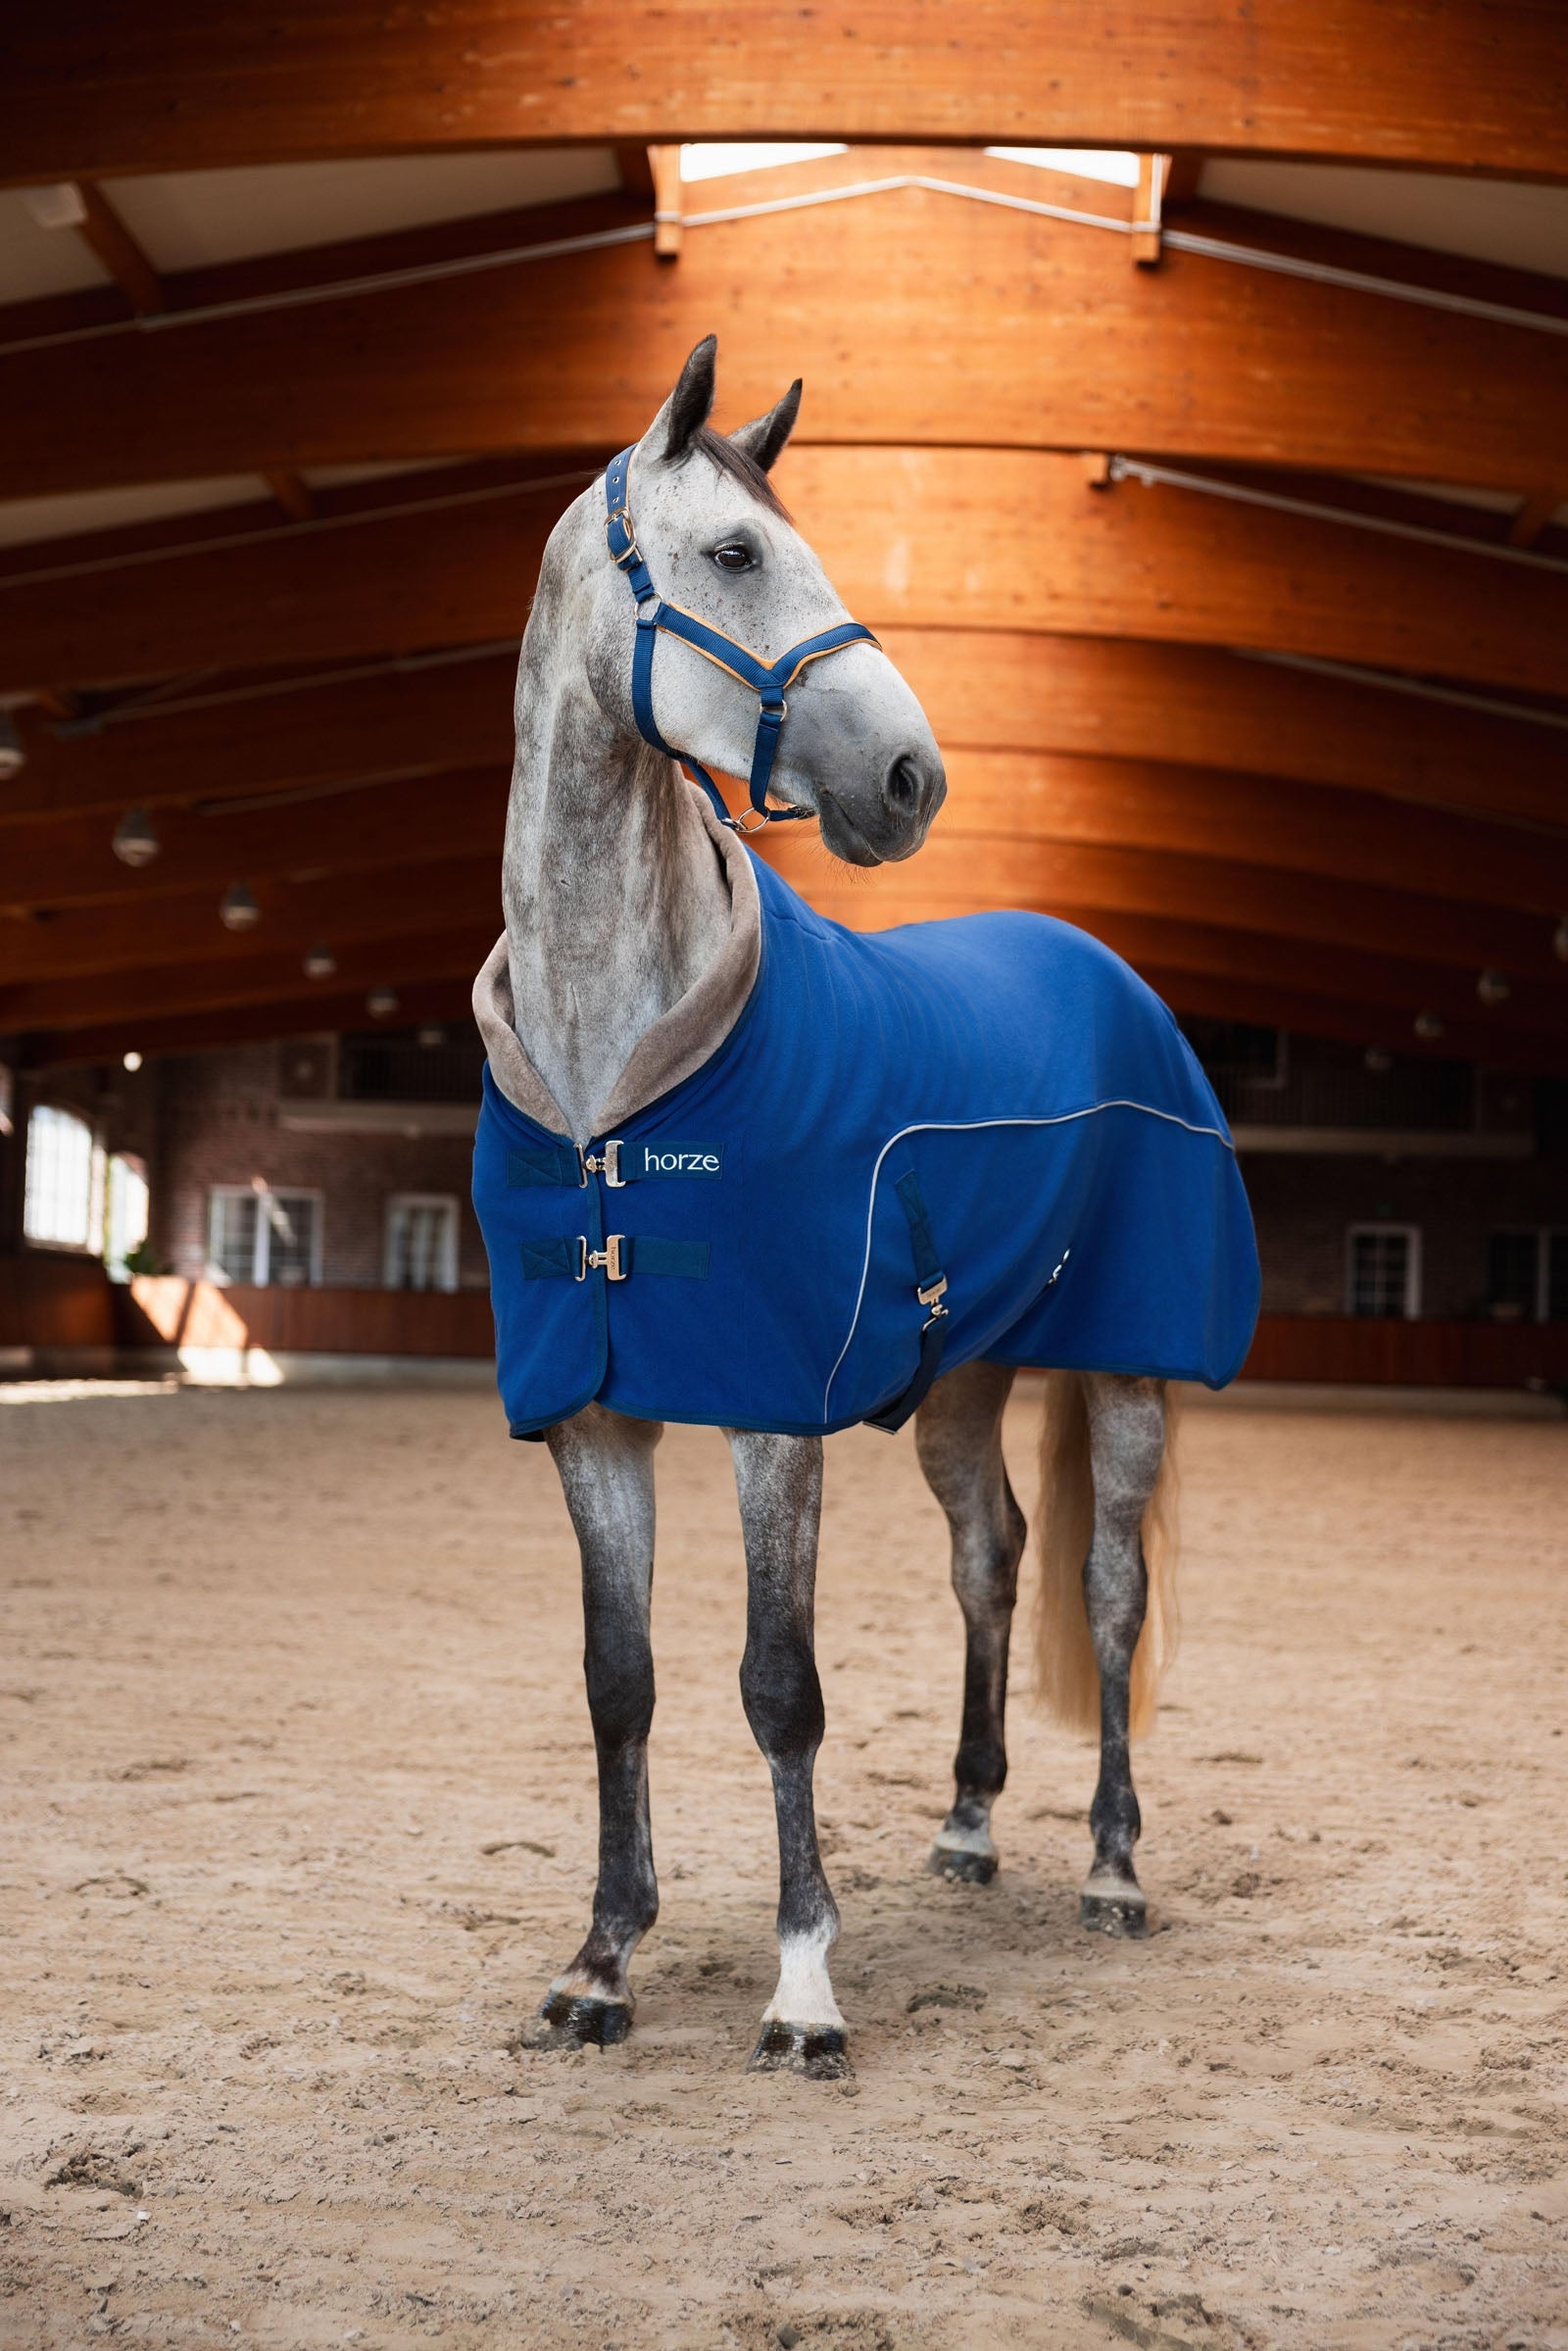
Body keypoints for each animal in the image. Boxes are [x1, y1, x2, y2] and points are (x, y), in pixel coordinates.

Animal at [473, 336, 1257, 2078]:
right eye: (734, 552)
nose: (913, 777)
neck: (613, 1073)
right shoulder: (592, 1416)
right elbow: (617, 1679)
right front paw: (601, 1962)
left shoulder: (775, 1411)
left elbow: (781, 1683)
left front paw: (803, 1988)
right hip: (961, 1378)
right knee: (991, 1553)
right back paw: (967, 1825)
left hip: (1131, 1370)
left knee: (1107, 1589)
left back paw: (1110, 1864)